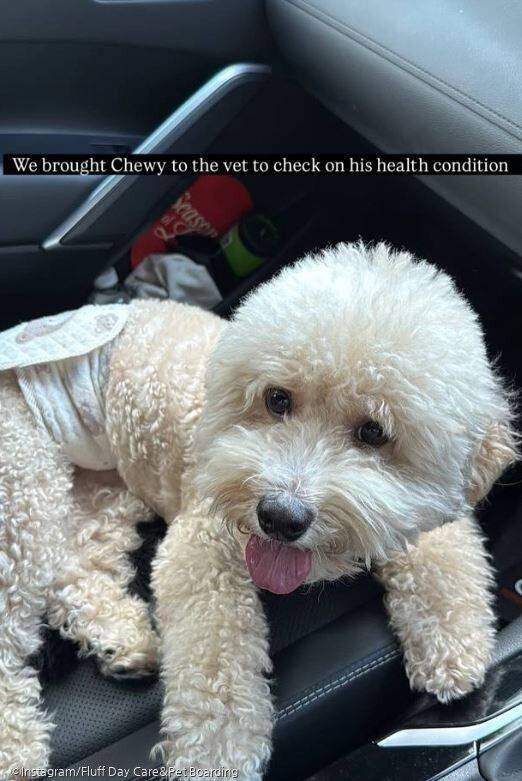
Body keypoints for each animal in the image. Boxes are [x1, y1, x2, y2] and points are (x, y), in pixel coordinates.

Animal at [0, 242, 516, 778]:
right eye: (277, 399)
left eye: (374, 431)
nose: (281, 517)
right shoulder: (202, 546)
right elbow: (217, 662)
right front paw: (216, 755)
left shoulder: (432, 506)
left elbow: (442, 554)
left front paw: (456, 648)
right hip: (24, 484)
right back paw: (18, 750)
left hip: (100, 488)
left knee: (73, 565)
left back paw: (121, 639)